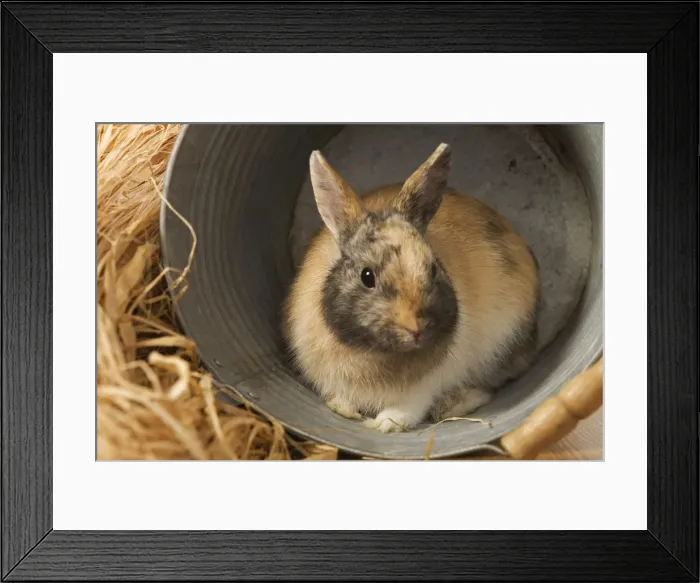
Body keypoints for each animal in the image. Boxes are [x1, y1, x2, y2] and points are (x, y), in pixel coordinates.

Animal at [281, 143, 540, 433]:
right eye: (367, 276)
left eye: (433, 268)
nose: (415, 328)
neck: (375, 352)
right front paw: (344, 409)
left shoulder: (424, 389)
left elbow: (409, 409)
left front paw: (384, 424)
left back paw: (452, 406)